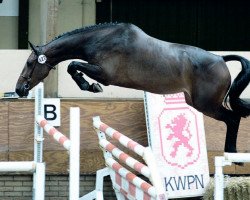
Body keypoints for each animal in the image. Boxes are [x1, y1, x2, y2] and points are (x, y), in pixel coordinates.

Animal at [15, 23, 250, 158]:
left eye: (29, 63)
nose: (19, 89)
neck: (100, 39)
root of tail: (221, 59)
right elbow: (74, 66)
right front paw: (89, 85)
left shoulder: (105, 74)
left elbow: (73, 65)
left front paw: (90, 86)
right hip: (195, 102)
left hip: (206, 105)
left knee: (232, 119)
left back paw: (232, 154)